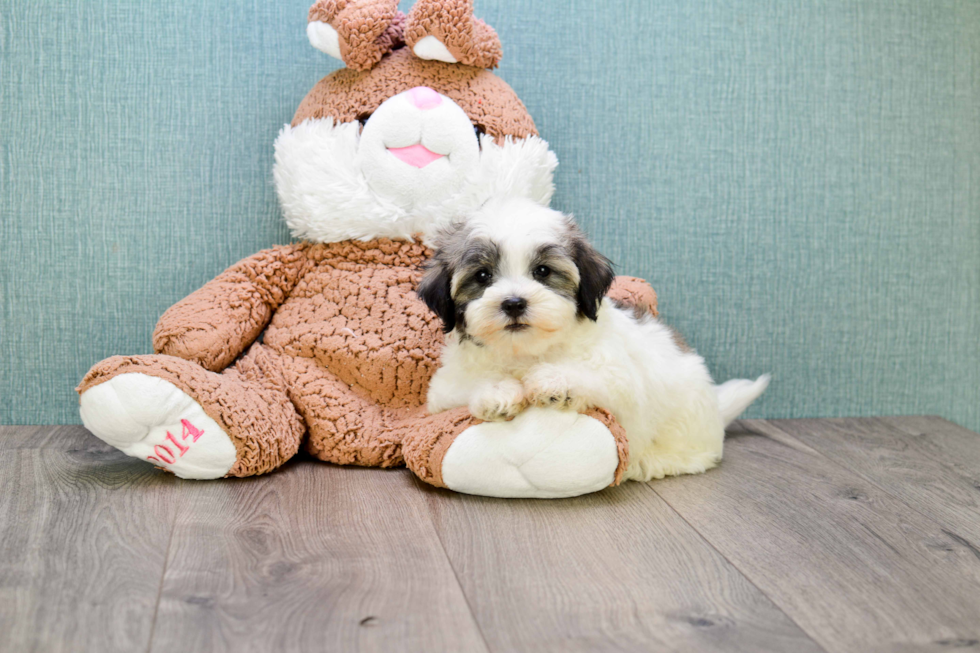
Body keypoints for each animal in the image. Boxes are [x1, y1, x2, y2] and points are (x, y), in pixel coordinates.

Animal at [418, 196, 768, 482]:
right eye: (482, 276)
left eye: (543, 272)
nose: (514, 303)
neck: (528, 351)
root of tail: (717, 410)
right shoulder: (442, 390)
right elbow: (466, 386)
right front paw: (498, 393)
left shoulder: (620, 381)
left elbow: (597, 379)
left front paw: (553, 381)